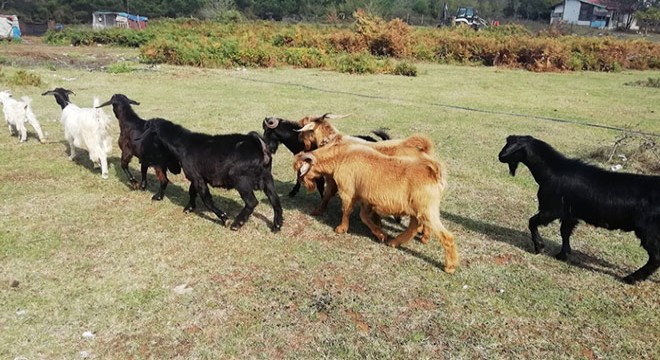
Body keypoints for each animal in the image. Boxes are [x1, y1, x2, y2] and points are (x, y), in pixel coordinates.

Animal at [296, 139, 458, 272]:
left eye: (300, 169)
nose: (302, 183)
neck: (341, 157)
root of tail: (433, 171)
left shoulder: (348, 192)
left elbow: (346, 210)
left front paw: (341, 229)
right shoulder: (365, 199)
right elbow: (364, 217)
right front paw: (381, 234)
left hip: (427, 210)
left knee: (446, 236)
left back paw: (449, 267)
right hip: (418, 210)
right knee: (413, 227)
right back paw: (395, 242)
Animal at [500, 135, 660, 284]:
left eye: (511, 146)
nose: (500, 156)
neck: (552, 170)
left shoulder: (552, 209)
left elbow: (532, 222)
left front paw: (539, 247)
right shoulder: (569, 214)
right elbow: (565, 232)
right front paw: (563, 255)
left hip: (649, 232)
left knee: (656, 258)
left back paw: (631, 278)